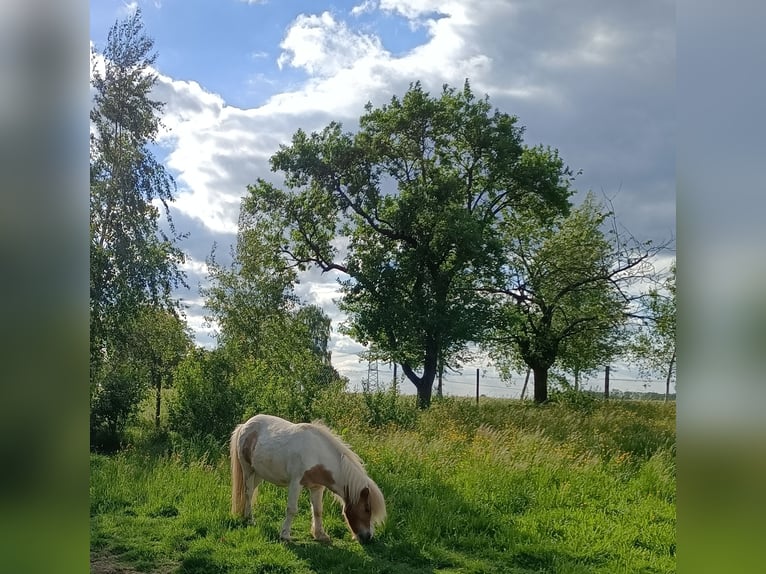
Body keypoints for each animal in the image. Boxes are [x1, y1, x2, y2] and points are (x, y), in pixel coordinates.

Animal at [226, 414, 384, 544]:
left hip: (259, 474)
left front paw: (320, 535)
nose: (368, 537)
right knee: (248, 493)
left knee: (251, 492)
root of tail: (244, 426)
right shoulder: (296, 483)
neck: (317, 453)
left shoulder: (317, 487)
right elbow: (292, 509)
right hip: (248, 470)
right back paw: (249, 519)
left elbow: (318, 510)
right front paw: (285, 535)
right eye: (367, 509)